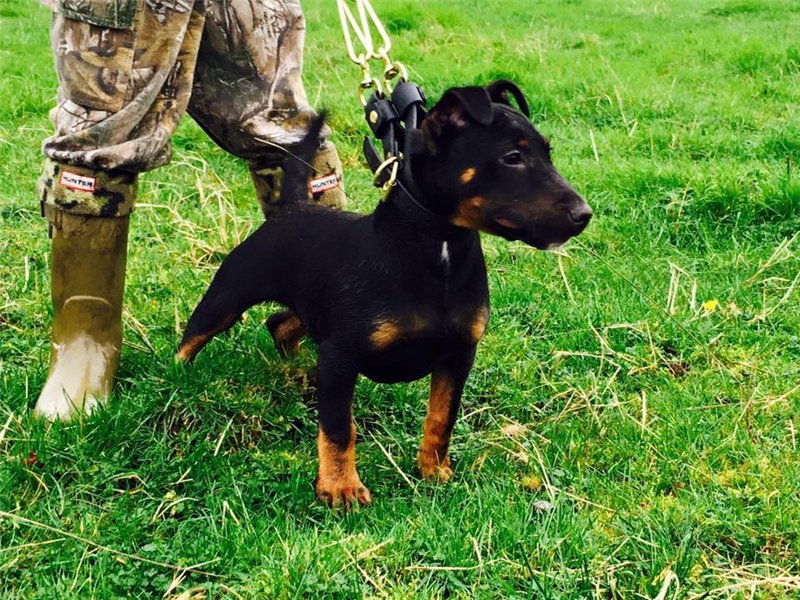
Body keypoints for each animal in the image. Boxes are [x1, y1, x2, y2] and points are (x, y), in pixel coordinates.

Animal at [177, 80, 592, 508]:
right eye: (512, 158)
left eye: (548, 154)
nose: (584, 215)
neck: (437, 246)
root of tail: (293, 208)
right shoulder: (340, 357)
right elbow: (338, 428)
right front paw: (340, 487)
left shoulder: (459, 354)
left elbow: (442, 418)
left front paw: (433, 472)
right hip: (228, 294)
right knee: (193, 337)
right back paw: (177, 379)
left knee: (279, 323)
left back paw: (295, 368)